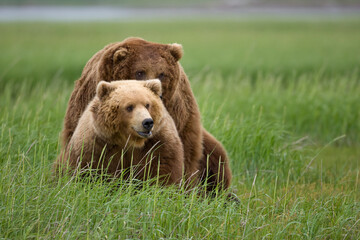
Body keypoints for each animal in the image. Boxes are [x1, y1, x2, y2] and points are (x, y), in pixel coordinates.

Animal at [54, 79, 184, 185]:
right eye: (129, 107)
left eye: (148, 104)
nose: (147, 122)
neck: (128, 140)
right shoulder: (96, 145)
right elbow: (85, 170)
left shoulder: (158, 143)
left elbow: (163, 170)